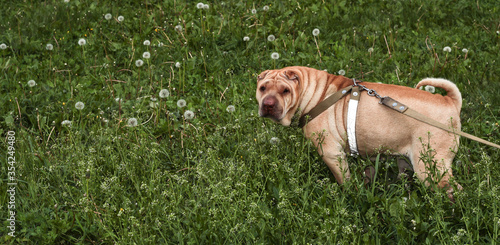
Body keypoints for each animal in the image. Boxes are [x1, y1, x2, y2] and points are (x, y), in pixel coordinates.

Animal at [256, 66, 462, 199]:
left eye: (285, 90)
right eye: (262, 88)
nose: (268, 104)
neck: (314, 92)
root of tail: (451, 101)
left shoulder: (331, 153)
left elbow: (344, 180)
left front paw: (350, 197)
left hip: (430, 167)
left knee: (453, 189)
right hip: (408, 160)